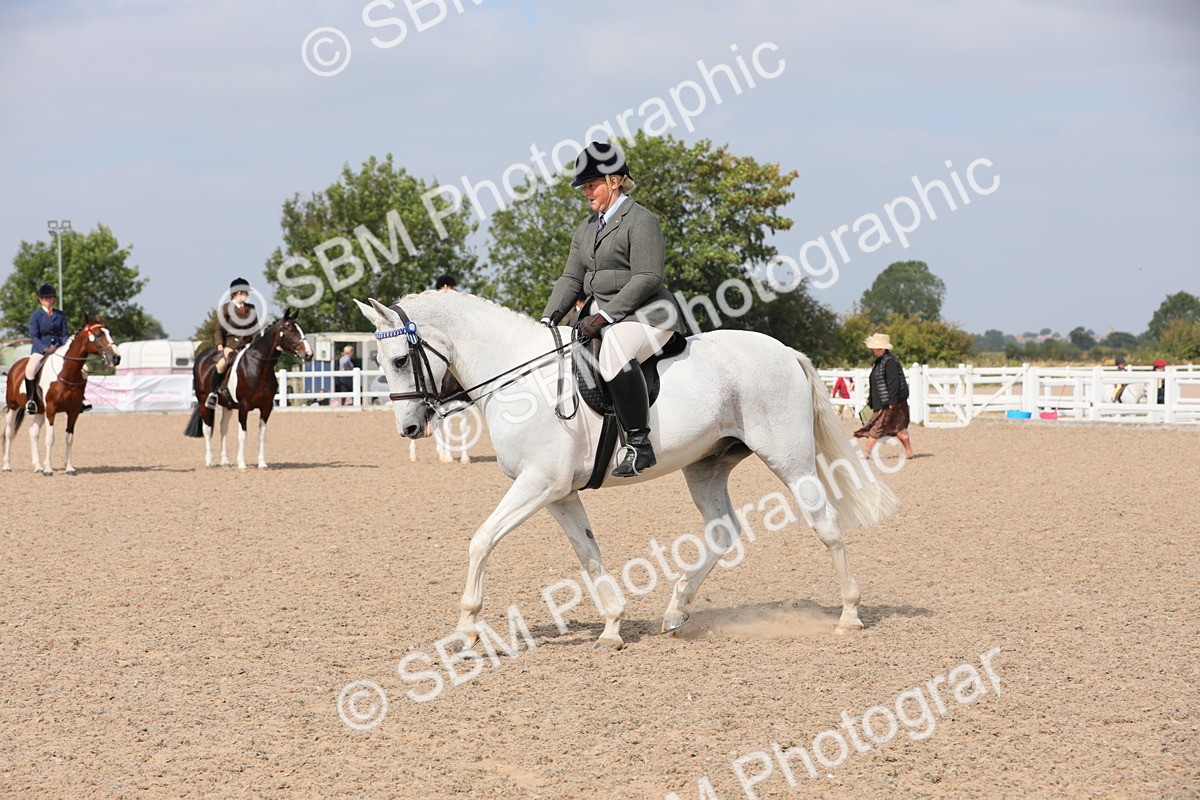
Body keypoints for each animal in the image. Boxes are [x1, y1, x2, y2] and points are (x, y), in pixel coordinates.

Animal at [3, 317, 121, 475]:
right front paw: (48, 469)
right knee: (9, 432)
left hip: (40, 410)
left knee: (33, 432)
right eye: (98, 335)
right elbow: (50, 438)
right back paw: (7, 466)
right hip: (13, 406)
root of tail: (15, 367)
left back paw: (37, 466)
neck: (66, 372)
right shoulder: (51, 409)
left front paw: (69, 467)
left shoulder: (73, 411)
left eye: (108, 333)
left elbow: (69, 438)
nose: (116, 358)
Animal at [184, 310, 312, 469]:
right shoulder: (244, 408)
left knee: (223, 427)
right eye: (290, 329)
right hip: (203, 402)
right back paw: (209, 461)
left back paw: (224, 460)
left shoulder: (266, 408)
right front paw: (242, 464)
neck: (257, 367)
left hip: (227, 405)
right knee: (207, 429)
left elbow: (262, 435)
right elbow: (242, 434)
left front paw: (262, 463)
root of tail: (202, 356)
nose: (309, 354)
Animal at [355, 291, 899, 650]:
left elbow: (482, 539)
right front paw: (614, 625)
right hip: (706, 466)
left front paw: (466, 627)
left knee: (825, 525)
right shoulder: (558, 492)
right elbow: (588, 554)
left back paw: (850, 614)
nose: (408, 427)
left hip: (789, 459)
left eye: (400, 358)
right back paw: (676, 610)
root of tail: (783, 351)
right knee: (723, 531)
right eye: (379, 359)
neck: (519, 376)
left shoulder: (538, 484)